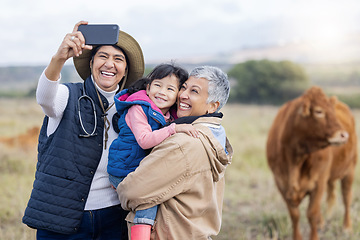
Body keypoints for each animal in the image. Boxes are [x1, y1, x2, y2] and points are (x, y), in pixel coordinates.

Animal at [266, 86, 356, 240]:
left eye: (333, 112)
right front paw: (297, 237)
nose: (344, 135)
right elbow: (295, 215)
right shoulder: (281, 183)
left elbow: (311, 214)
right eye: (319, 111)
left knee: (347, 198)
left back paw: (347, 227)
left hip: (350, 170)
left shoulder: (319, 182)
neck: (295, 158)